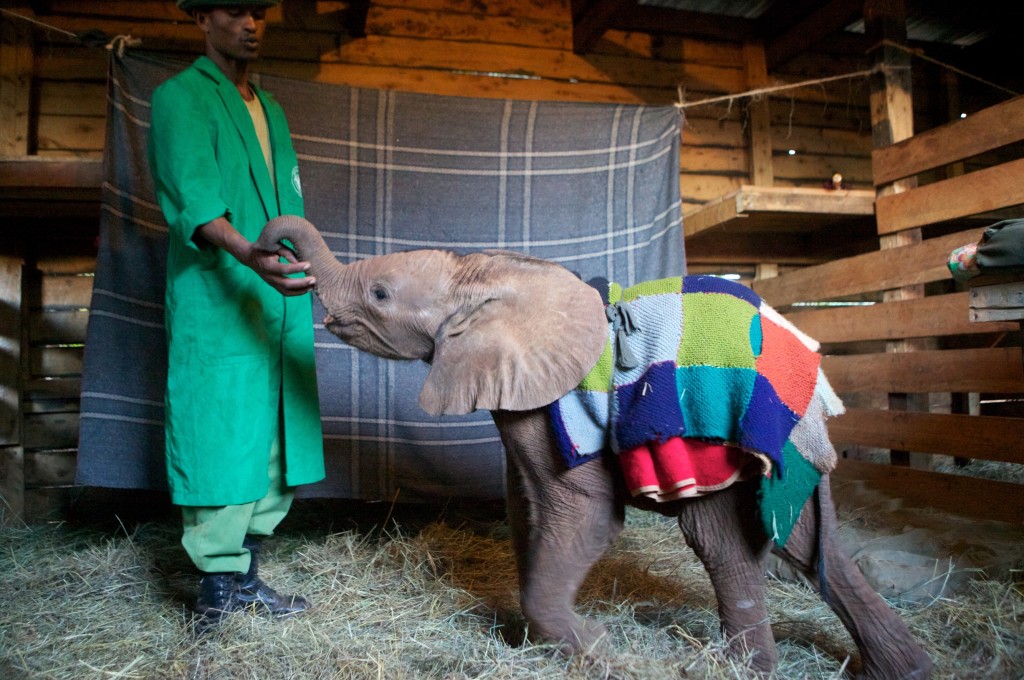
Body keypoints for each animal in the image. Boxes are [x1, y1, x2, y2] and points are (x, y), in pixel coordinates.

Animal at [258, 215, 937, 675]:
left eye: (380, 295)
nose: (275, 254)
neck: (483, 272)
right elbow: (528, 506)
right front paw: (538, 640)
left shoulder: (549, 399)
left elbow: (583, 512)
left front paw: (598, 650)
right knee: (785, 542)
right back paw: (881, 670)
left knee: (735, 539)